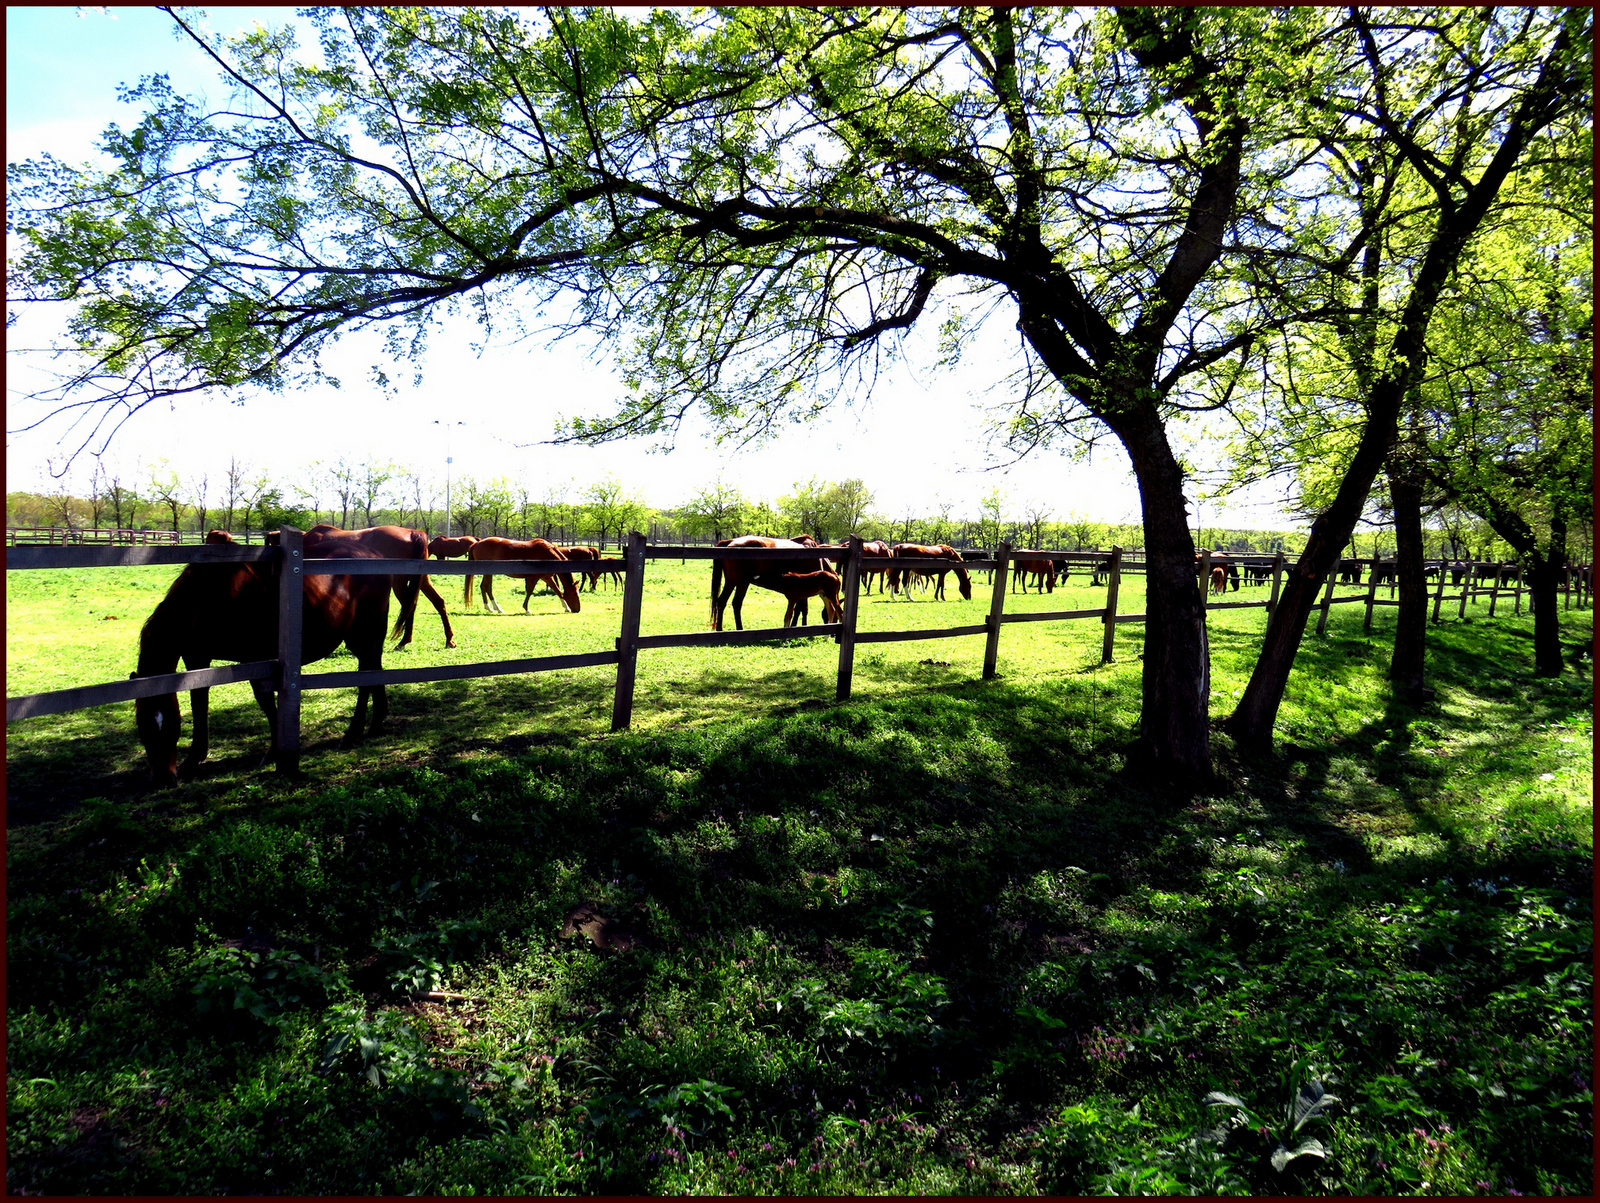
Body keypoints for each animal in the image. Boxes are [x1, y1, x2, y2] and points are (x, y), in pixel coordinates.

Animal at [132, 540, 406, 783]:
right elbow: (200, 702)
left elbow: (265, 702)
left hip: (363, 634)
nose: (163, 778)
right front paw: (194, 758)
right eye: (142, 726)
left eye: (171, 723)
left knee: (365, 678)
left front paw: (274, 751)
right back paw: (376, 722)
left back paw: (352, 733)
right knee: (373, 670)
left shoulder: (255, 658)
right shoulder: (196, 658)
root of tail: (373, 556)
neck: (209, 596)